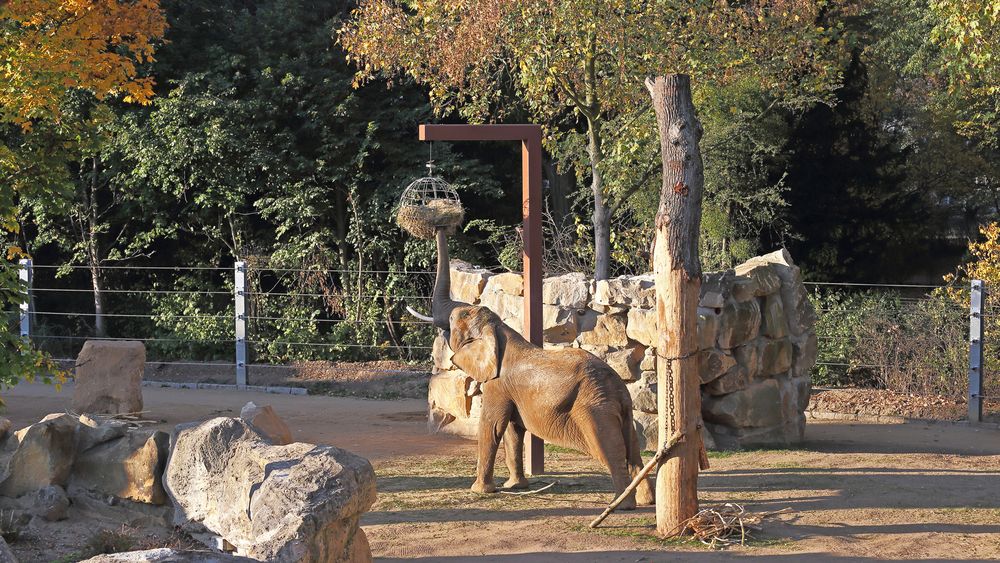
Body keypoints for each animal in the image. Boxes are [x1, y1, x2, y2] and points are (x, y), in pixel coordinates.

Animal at [422, 227, 656, 508]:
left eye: (454, 319)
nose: (440, 226)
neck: (499, 330)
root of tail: (618, 389)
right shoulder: (510, 390)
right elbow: (513, 431)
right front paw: (514, 486)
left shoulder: (497, 385)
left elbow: (492, 426)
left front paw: (479, 490)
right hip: (623, 409)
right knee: (633, 449)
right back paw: (646, 501)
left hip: (593, 409)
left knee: (611, 451)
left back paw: (621, 505)